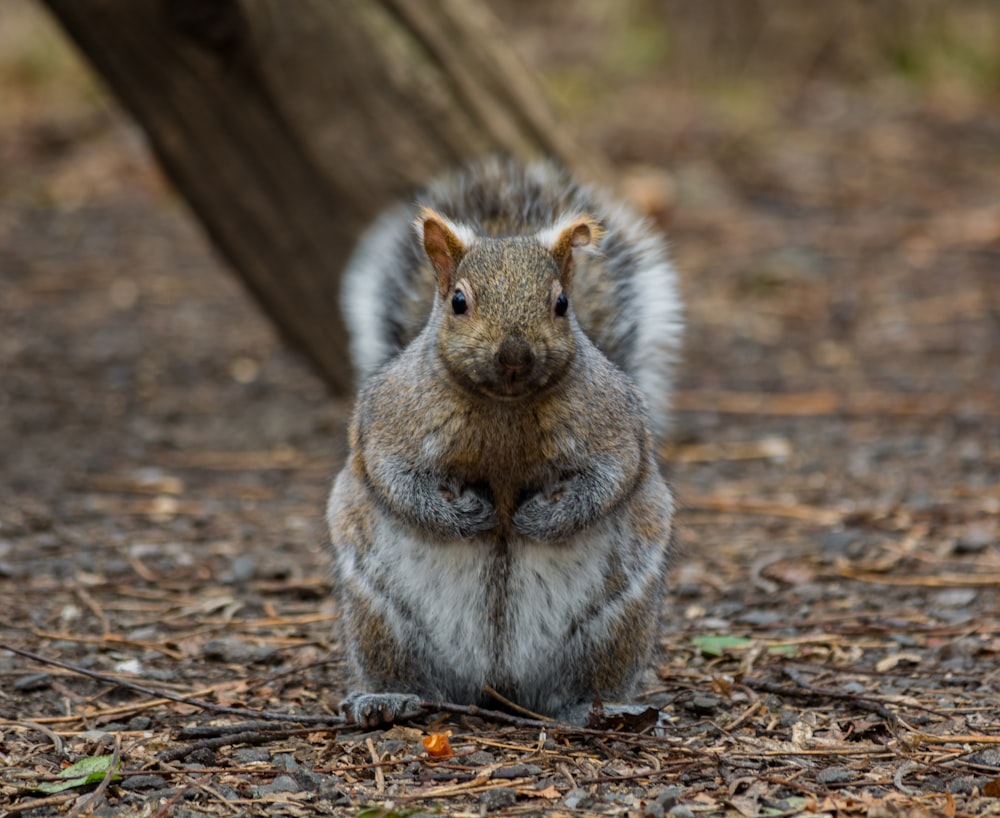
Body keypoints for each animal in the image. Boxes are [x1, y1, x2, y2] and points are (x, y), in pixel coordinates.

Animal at [324, 156, 684, 724]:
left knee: (577, 686)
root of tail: (498, 683)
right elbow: (397, 481)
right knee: (410, 673)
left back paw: (601, 709)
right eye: (458, 301)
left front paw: (538, 518)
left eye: (561, 303)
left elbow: (609, 479)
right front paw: (470, 515)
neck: (504, 407)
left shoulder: (616, 429)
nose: (515, 356)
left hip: (614, 624)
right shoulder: (388, 424)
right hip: (379, 617)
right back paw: (385, 698)